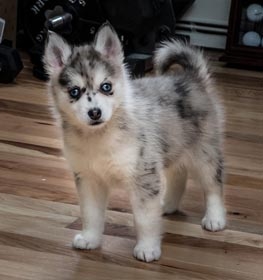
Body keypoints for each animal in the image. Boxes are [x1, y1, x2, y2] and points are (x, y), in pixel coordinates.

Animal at [43, 22, 227, 262]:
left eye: (106, 86)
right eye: (75, 91)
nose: (95, 112)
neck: (100, 136)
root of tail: (190, 78)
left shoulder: (143, 176)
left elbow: (144, 219)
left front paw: (147, 248)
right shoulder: (89, 179)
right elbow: (91, 214)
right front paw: (90, 239)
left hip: (204, 152)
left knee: (213, 184)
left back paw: (215, 218)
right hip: (170, 148)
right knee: (178, 175)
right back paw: (167, 205)